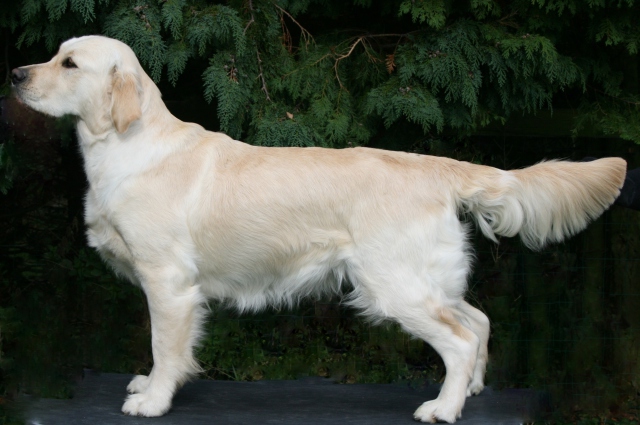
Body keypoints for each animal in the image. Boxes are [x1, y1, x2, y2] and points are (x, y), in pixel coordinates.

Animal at [11, 35, 626, 423]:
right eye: (56, 54)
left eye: (69, 64)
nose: (15, 74)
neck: (127, 145)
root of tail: (433, 165)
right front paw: (146, 385)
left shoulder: (168, 283)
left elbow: (166, 348)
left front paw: (154, 400)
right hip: (428, 279)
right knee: (479, 320)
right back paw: (472, 391)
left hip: (393, 284)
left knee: (460, 338)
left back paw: (444, 409)